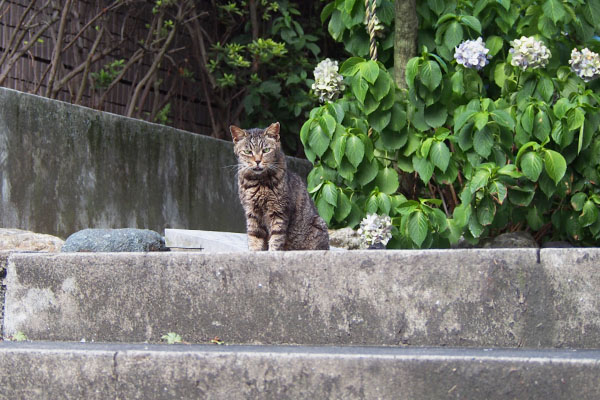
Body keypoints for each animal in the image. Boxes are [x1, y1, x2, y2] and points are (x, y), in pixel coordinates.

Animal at [231, 123, 332, 252]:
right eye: (248, 151)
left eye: (266, 150)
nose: (258, 161)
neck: (260, 183)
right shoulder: (252, 212)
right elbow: (254, 237)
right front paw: (254, 252)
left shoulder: (279, 210)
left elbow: (276, 237)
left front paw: (273, 252)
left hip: (318, 225)